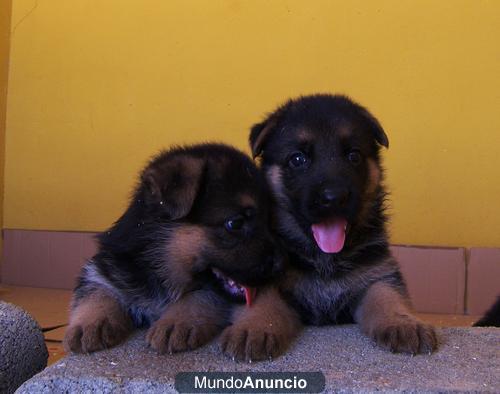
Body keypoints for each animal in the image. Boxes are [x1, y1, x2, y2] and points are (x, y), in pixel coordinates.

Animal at [63, 144, 284, 354]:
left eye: (269, 221)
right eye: (235, 223)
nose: (281, 264)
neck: (160, 267)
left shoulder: (207, 291)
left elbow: (197, 296)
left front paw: (177, 322)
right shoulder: (105, 268)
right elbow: (96, 291)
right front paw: (90, 324)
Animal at [222, 94, 438, 360]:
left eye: (354, 156)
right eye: (298, 159)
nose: (334, 198)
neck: (325, 260)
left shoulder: (376, 274)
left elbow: (387, 295)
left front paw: (403, 322)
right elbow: (264, 298)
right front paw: (255, 326)